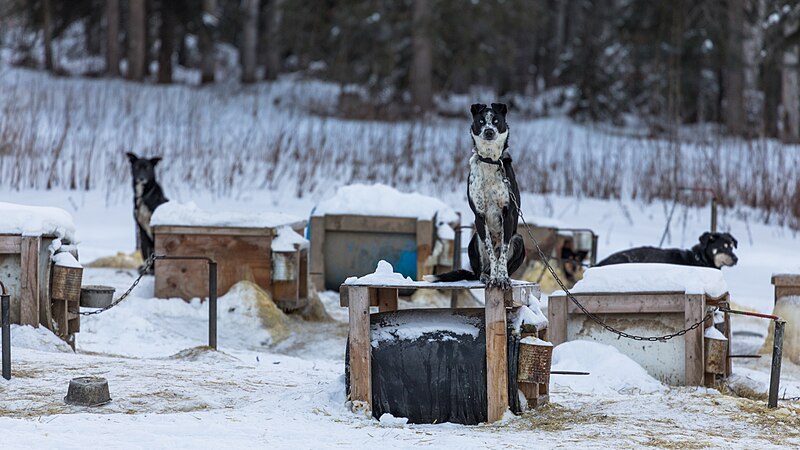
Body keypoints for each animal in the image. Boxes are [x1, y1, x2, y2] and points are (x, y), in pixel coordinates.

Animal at [422, 103, 528, 288]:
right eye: (481, 121)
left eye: (496, 121)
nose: (489, 131)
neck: (490, 161)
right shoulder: (479, 216)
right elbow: (492, 253)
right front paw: (494, 278)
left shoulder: (508, 215)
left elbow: (503, 253)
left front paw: (502, 277)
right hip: (475, 238)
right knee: (480, 271)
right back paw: (486, 276)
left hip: (519, 239)